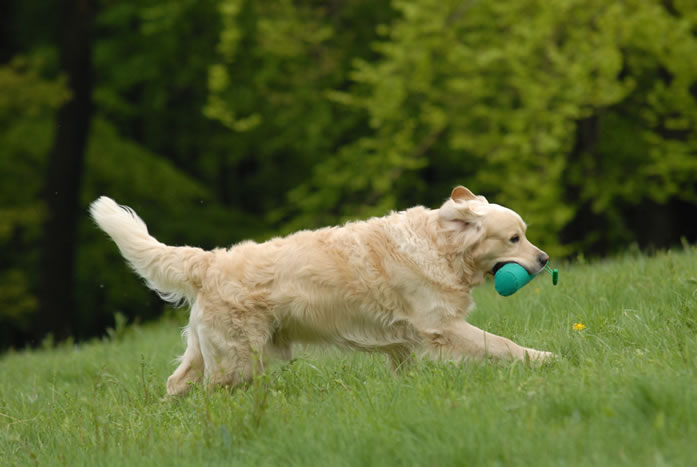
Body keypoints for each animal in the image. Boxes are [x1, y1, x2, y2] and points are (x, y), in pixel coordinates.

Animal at [90, 186, 553, 396]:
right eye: (514, 239)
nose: (545, 259)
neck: (438, 247)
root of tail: (210, 260)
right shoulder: (442, 326)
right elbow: (501, 344)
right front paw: (543, 358)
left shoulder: (404, 339)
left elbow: (404, 367)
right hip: (239, 359)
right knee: (211, 392)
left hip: (209, 350)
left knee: (176, 383)